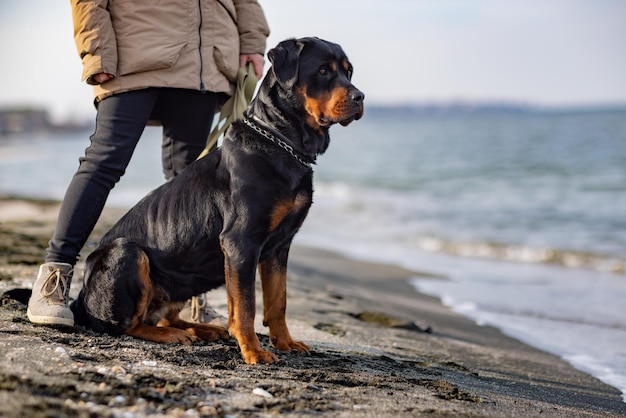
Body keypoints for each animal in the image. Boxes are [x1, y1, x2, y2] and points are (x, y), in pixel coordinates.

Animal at [69, 37, 360, 364]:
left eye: (348, 71)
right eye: (323, 70)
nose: (360, 96)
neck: (282, 144)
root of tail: (80, 299)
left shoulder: (279, 246)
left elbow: (278, 300)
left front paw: (285, 342)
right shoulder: (241, 242)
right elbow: (246, 306)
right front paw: (253, 351)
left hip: (180, 284)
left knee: (164, 316)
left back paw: (200, 329)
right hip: (127, 253)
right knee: (129, 324)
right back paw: (172, 335)